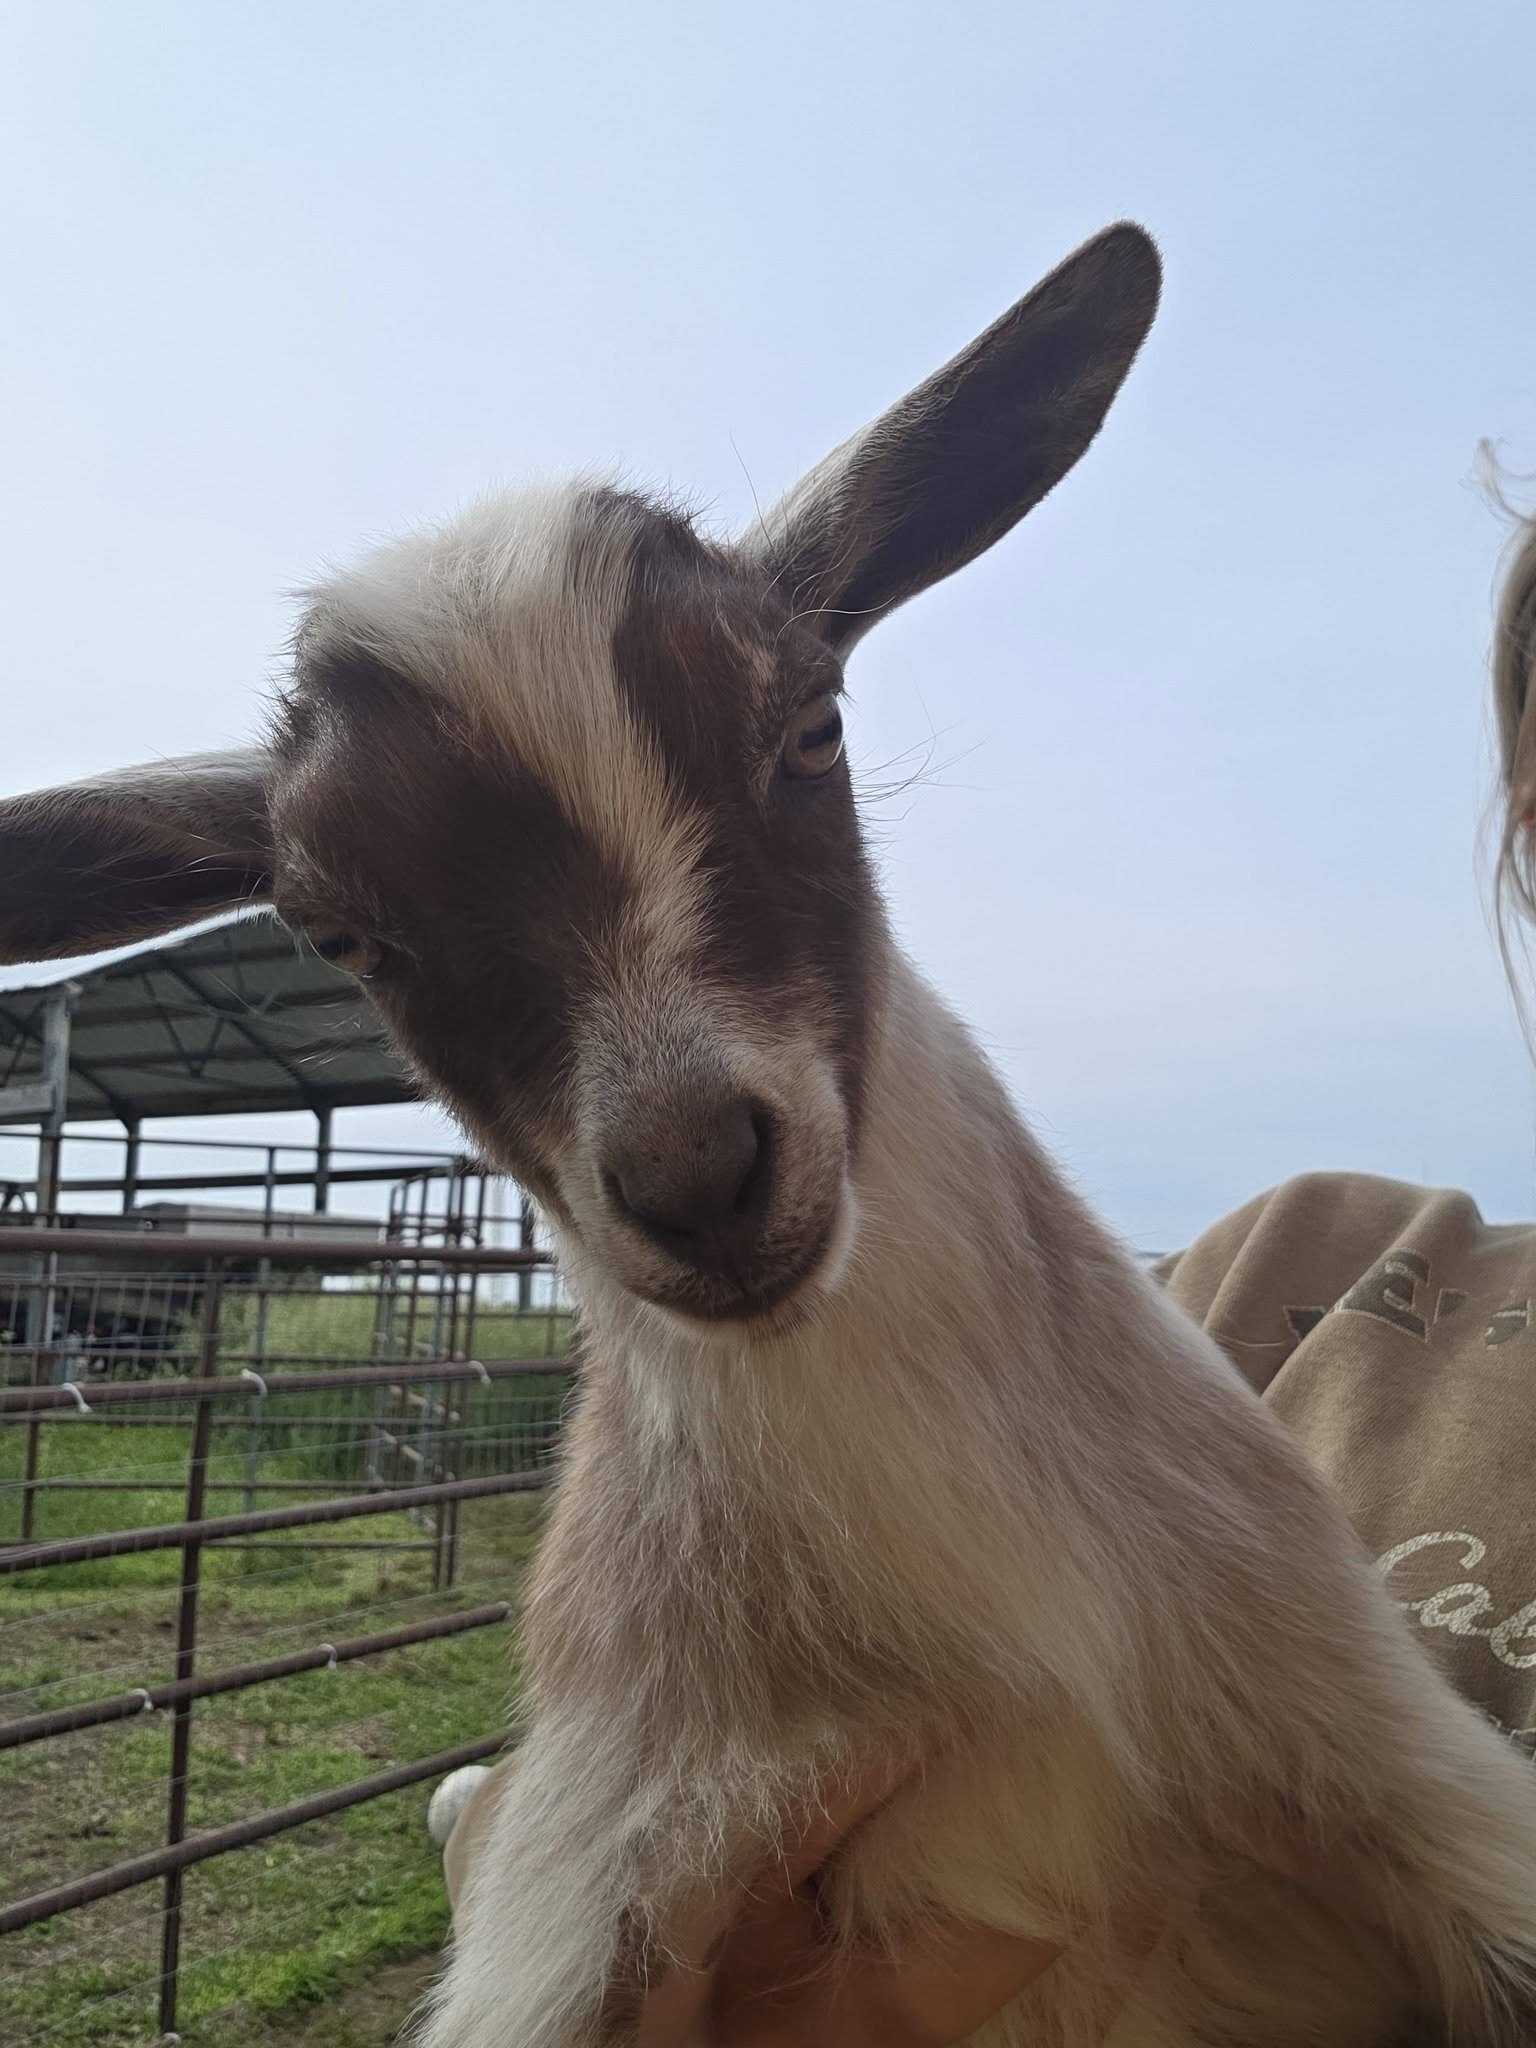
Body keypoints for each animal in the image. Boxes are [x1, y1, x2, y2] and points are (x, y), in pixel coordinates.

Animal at [4, 224, 1536, 2047]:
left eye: (811, 726)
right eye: (341, 933)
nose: (696, 1176)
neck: (989, 1611)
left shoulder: (1397, 1763)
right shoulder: (581, 1888)